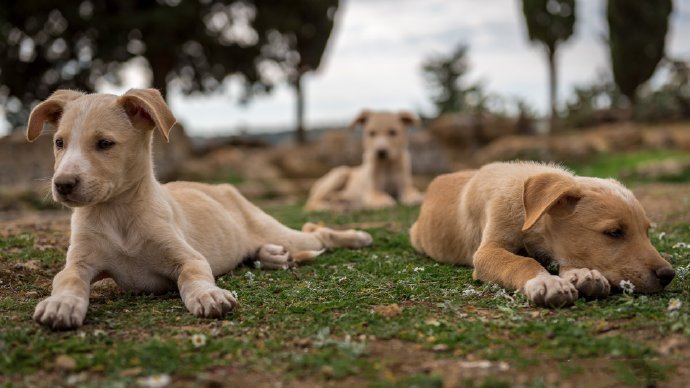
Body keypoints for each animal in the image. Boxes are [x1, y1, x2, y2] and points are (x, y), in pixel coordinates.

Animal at [26, 89, 370, 328]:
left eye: (104, 144)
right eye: (59, 143)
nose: (63, 184)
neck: (117, 214)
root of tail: (222, 187)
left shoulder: (188, 257)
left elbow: (193, 276)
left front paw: (208, 294)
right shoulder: (79, 263)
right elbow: (67, 280)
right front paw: (61, 303)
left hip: (283, 231)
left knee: (318, 234)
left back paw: (356, 236)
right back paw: (273, 256)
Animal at [408, 161, 672, 306]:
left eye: (647, 231)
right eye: (615, 232)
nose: (668, 275)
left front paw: (583, 273)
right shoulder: (486, 252)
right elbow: (520, 262)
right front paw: (547, 281)